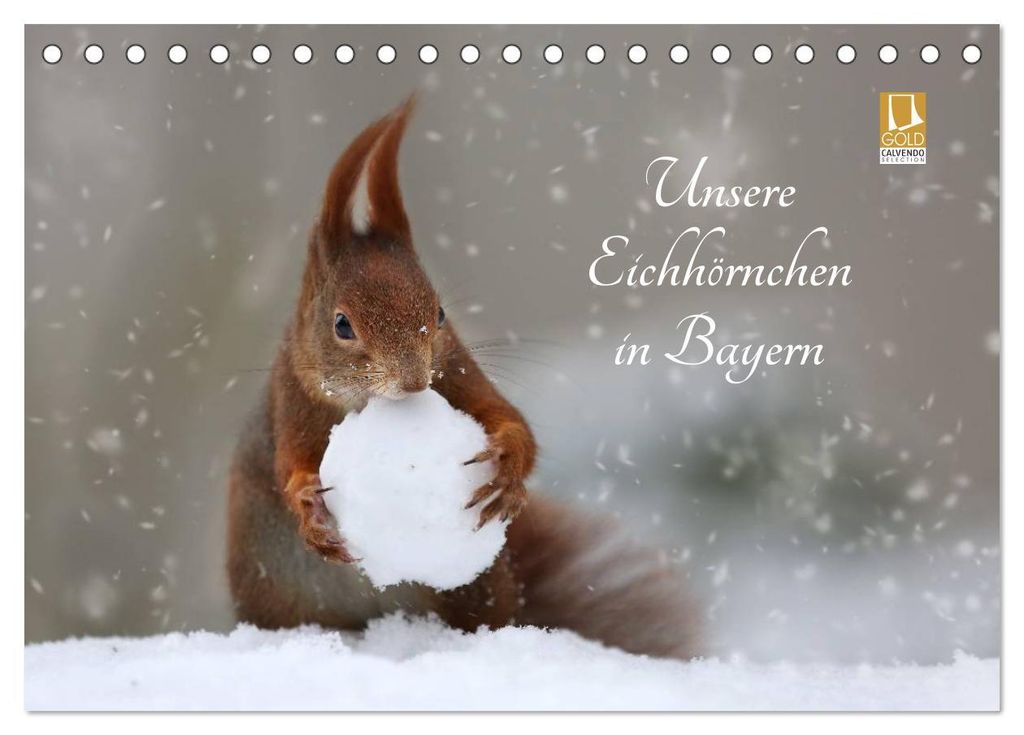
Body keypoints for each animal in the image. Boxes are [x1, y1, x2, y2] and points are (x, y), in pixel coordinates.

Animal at [227, 96, 699, 659]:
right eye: (341, 325)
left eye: (440, 312)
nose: (413, 382)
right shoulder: (291, 402)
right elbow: (289, 466)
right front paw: (308, 509)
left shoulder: (458, 374)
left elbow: (511, 421)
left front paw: (508, 471)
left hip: (474, 587)